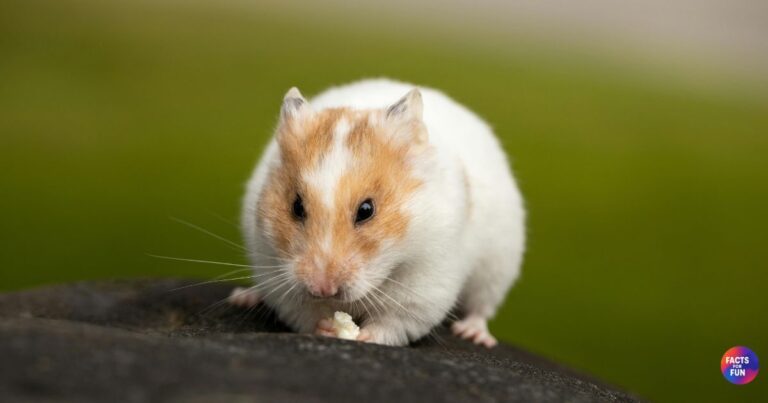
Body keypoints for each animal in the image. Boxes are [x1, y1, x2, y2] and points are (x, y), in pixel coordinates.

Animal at [235, 78, 525, 347]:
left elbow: (393, 322)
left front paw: (363, 336)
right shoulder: (275, 272)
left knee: (481, 307)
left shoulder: (424, 286)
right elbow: (304, 314)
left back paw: (474, 334)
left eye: (366, 210)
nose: (323, 288)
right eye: (296, 206)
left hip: (497, 266)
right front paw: (327, 328)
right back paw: (244, 297)